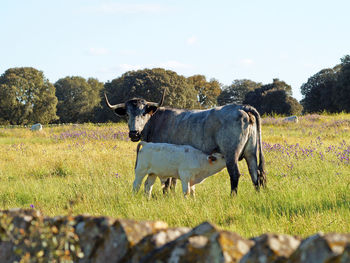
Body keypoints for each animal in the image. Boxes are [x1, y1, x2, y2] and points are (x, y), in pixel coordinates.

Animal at [105, 89, 266, 195]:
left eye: (144, 112)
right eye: (127, 114)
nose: (134, 133)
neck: (156, 121)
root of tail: (241, 106)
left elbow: (168, 182)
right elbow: (173, 182)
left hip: (231, 154)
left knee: (235, 174)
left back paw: (232, 197)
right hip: (251, 153)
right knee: (256, 174)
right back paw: (258, 195)